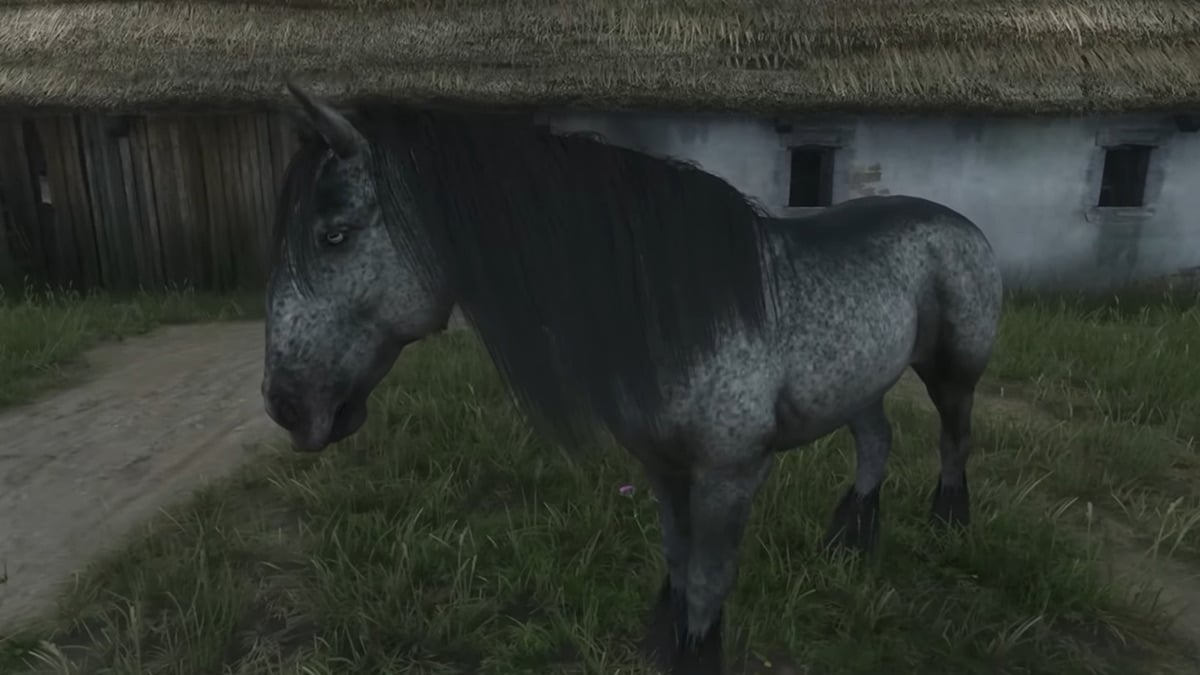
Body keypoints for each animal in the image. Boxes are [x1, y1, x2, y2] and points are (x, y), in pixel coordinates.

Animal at [261, 83, 1004, 675]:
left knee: (954, 438)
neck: (679, 308)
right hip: (860, 384)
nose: (285, 404)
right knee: (876, 442)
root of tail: (961, 224)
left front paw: (698, 655)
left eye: (334, 235)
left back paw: (947, 524)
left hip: (953, 372)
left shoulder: (731, 472)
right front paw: (666, 643)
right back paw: (849, 541)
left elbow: (707, 580)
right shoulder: (661, 465)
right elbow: (677, 563)